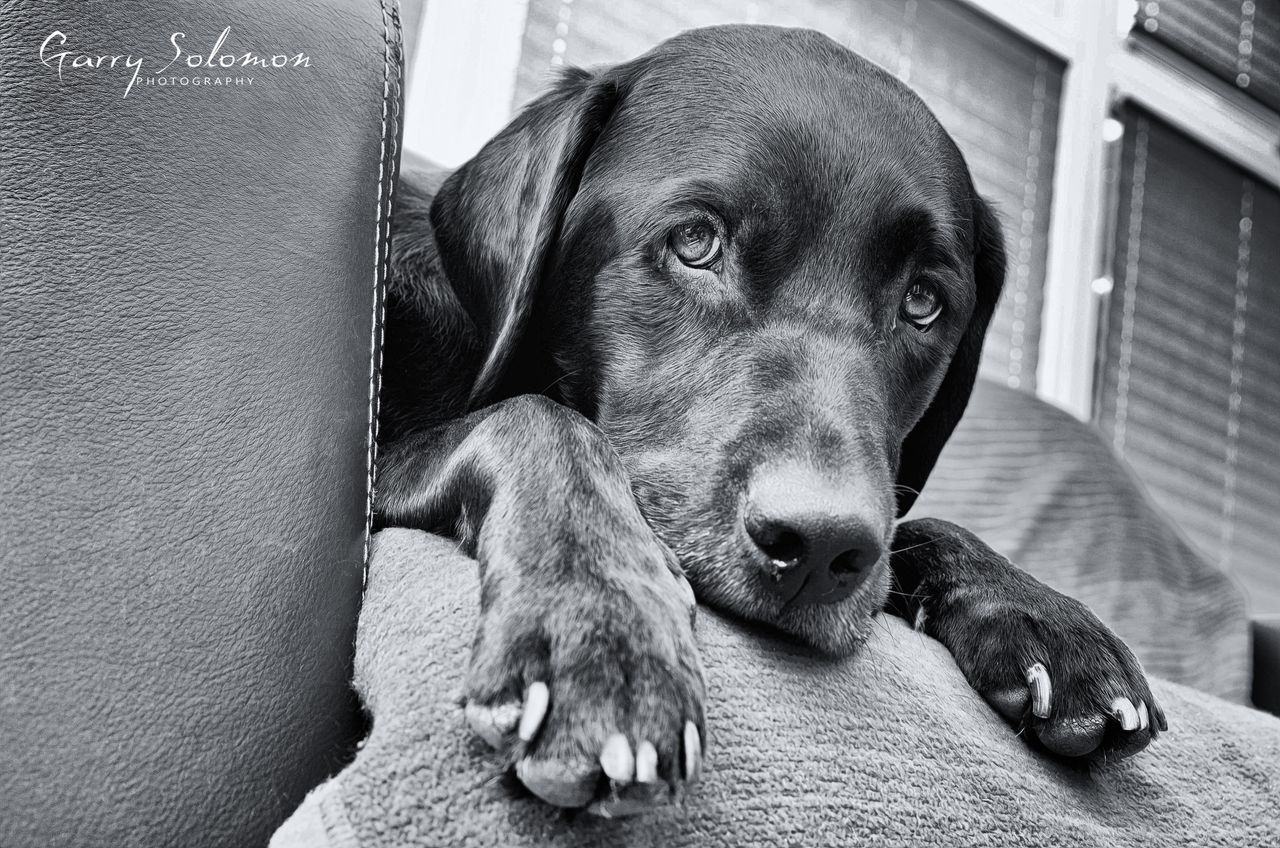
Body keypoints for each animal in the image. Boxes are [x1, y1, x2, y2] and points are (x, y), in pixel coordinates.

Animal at [373, 24, 1167, 819]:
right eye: (695, 242)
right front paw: (600, 631)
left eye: (924, 302)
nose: (820, 547)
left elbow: (916, 526)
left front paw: (1044, 619)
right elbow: (539, 421)